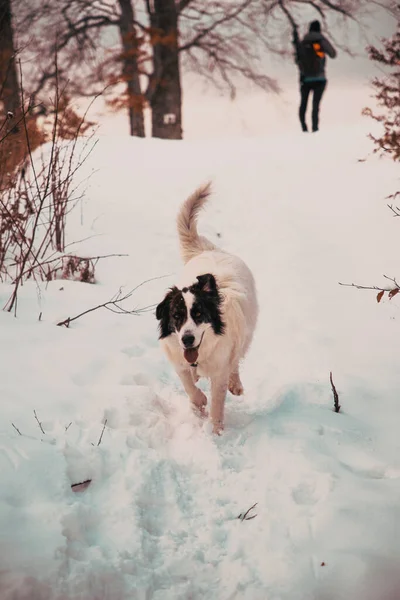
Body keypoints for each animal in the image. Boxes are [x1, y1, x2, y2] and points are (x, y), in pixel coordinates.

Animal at [155, 183, 258, 432]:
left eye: (199, 314)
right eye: (176, 316)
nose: (187, 339)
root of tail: (210, 250)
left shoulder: (220, 367)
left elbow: (218, 401)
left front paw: (216, 432)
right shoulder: (177, 358)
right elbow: (187, 382)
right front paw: (198, 401)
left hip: (246, 333)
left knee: (236, 361)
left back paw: (235, 383)